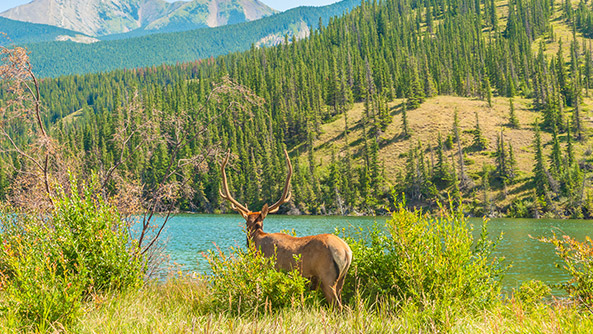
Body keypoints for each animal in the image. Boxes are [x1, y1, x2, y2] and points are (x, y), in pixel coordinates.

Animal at [221, 149, 352, 308]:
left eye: (246, 223)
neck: (256, 240)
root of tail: (346, 252)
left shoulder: (267, 268)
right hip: (341, 279)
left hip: (327, 278)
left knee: (337, 306)